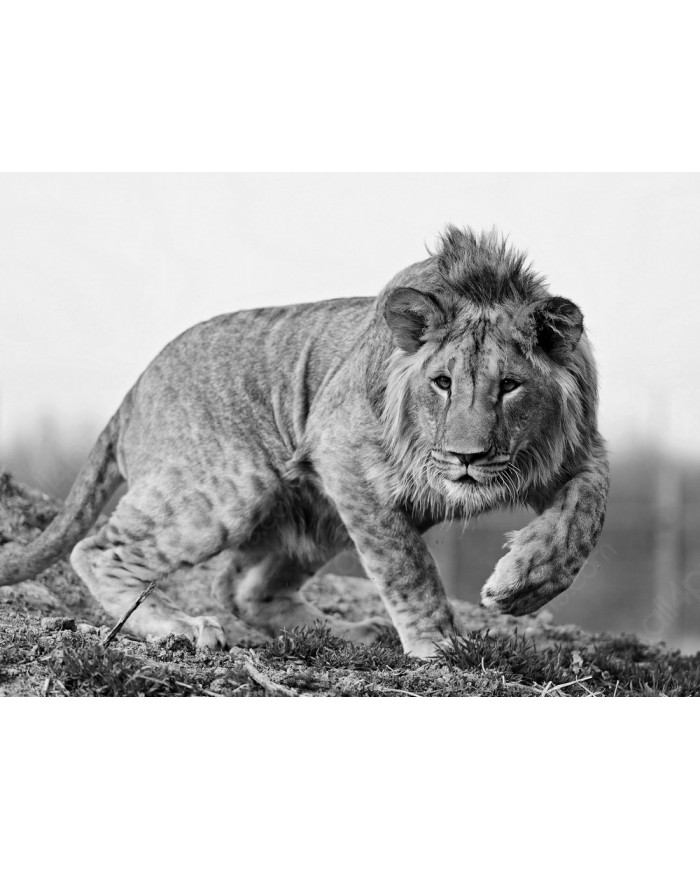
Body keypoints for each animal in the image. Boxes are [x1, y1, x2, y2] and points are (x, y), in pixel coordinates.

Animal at [0, 226, 609, 658]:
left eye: (509, 386)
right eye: (442, 383)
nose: (467, 458)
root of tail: (132, 392)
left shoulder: (578, 449)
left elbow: (585, 515)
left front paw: (522, 584)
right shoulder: (345, 455)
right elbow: (406, 565)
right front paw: (438, 644)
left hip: (317, 517)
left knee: (244, 589)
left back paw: (351, 631)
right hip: (229, 491)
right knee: (99, 550)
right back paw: (182, 626)